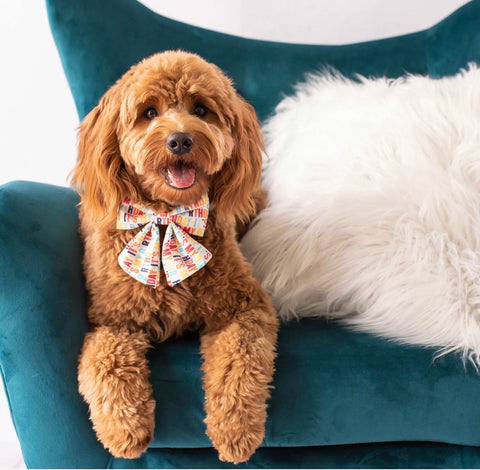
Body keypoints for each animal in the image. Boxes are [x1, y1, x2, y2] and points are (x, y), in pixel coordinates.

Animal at [73, 48, 280, 462]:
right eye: (148, 112)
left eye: (201, 109)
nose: (181, 140)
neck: (167, 217)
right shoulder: (113, 322)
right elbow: (104, 362)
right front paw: (125, 431)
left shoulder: (244, 307)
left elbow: (241, 361)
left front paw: (235, 431)